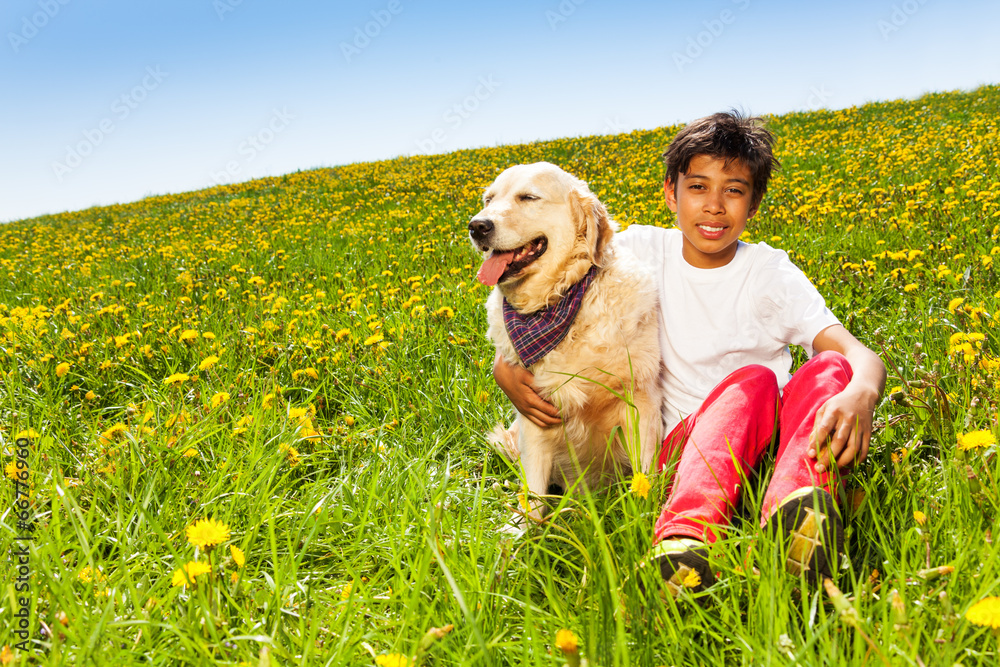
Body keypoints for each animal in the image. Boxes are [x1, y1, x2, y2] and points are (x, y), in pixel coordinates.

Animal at [468, 162, 664, 520]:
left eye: (528, 197)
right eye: (489, 199)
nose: (477, 226)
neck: (558, 303)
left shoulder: (640, 403)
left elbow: (646, 475)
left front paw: (646, 517)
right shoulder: (533, 416)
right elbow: (532, 495)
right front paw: (523, 532)